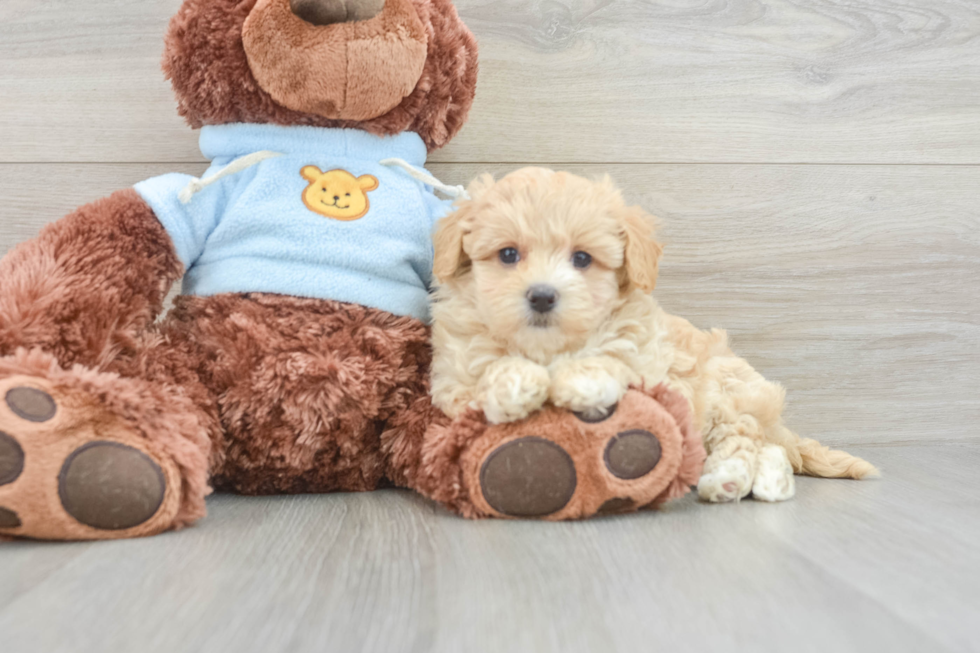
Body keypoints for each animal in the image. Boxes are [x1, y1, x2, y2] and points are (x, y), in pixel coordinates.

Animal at [432, 167, 876, 500]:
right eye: (508, 254)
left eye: (582, 259)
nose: (542, 296)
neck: (550, 350)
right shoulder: (454, 378)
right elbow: (487, 374)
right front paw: (516, 385)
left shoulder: (646, 358)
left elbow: (613, 360)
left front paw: (581, 381)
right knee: (768, 446)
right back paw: (770, 481)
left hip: (724, 394)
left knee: (744, 438)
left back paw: (731, 479)